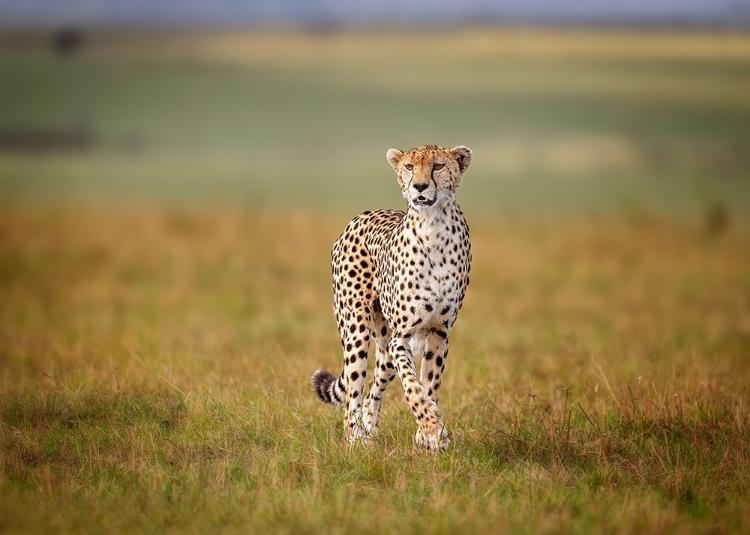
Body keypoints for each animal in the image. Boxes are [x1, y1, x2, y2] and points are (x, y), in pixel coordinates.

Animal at [310, 143, 472, 452]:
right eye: (409, 166)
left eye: (438, 166)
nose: (419, 186)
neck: (434, 225)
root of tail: (361, 216)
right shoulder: (402, 336)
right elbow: (413, 387)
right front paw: (432, 429)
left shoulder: (439, 333)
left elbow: (430, 384)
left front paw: (427, 436)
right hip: (356, 330)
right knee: (353, 392)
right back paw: (354, 441)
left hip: (384, 349)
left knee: (374, 387)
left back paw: (370, 432)